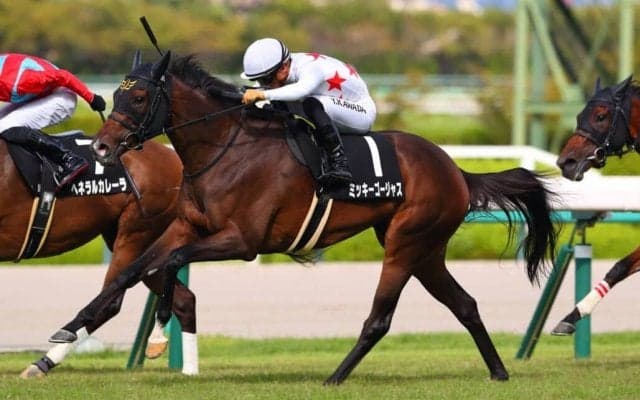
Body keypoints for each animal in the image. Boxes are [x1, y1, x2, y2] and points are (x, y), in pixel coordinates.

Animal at [51, 51, 558, 384]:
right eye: (116, 96)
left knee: (380, 318)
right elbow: (130, 272)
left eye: (138, 99)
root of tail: (454, 169)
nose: (101, 148)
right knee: (464, 304)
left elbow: (170, 264)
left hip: (406, 242)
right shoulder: (186, 226)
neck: (225, 149)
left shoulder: (242, 241)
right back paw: (498, 372)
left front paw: (157, 337)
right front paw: (63, 337)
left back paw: (335, 377)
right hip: (426, 249)